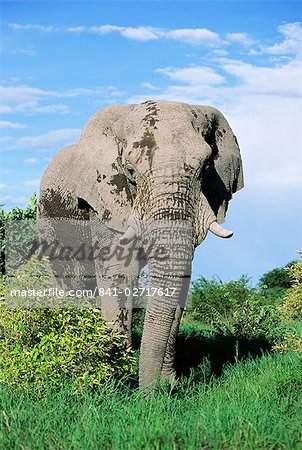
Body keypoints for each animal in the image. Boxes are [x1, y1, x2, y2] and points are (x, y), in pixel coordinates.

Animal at [37, 101, 243, 386]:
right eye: (131, 171)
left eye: (205, 168)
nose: (149, 393)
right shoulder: (104, 200)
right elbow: (119, 273)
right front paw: (116, 379)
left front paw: (168, 384)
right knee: (75, 285)